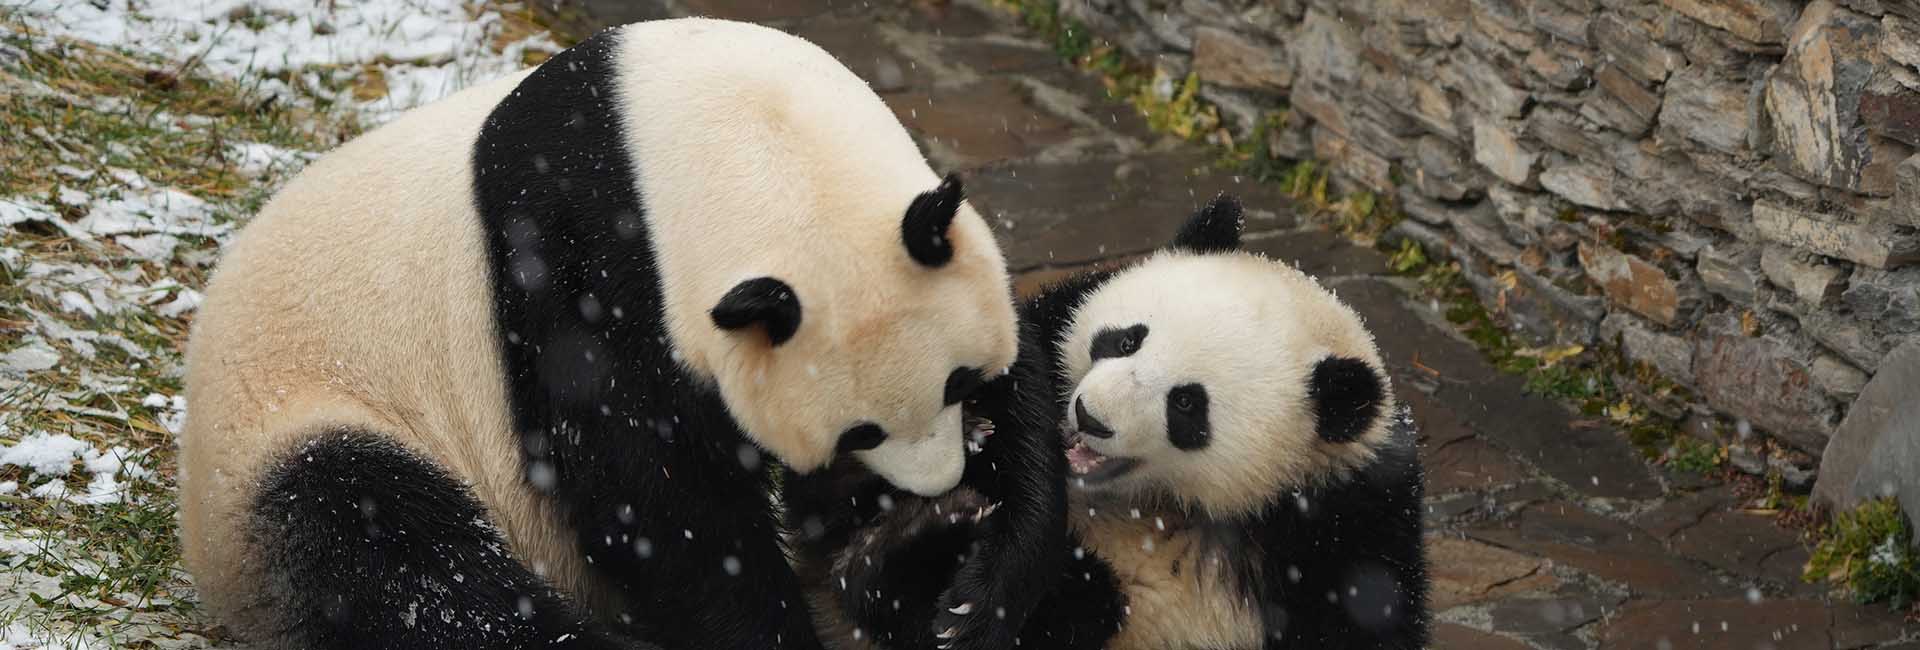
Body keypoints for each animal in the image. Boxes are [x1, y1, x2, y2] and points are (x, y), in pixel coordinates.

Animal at [177, 19, 1024, 650]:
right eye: (861, 432)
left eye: (960, 381)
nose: (937, 482)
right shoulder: (581, 263)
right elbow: (647, 490)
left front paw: (920, 520)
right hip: (304, 422)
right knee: (390, 547)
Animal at [804, 195, 1429, 650]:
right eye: (1126, 339)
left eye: (1187, 405)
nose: (1089, 416)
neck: (1163, 506)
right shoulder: (1050, 319)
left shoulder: (1343, 533)